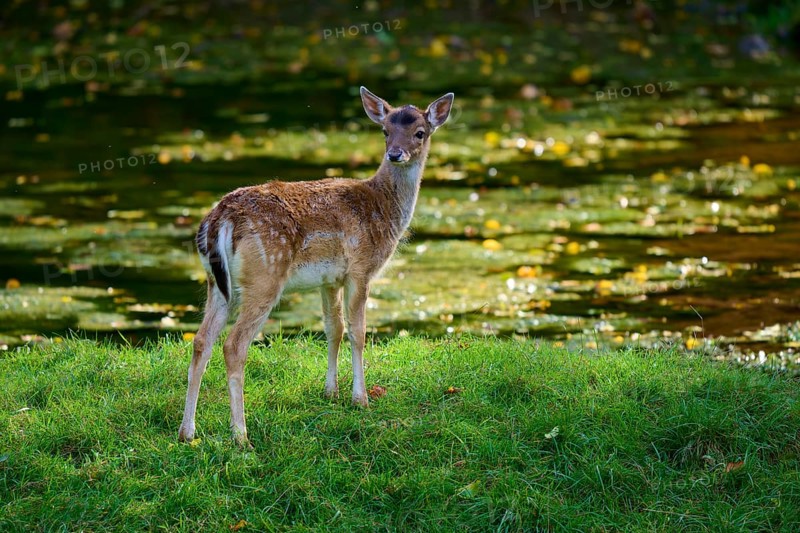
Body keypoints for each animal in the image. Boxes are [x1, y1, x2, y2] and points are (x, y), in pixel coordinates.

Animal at [178, 87, 455, 445]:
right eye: (385, 131)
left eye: (419, 132)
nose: (396, 154)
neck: (383, 208)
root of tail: (219, 220)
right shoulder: (361, 269)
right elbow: (358, 333)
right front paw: (360, 399)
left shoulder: (329, 279)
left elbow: (333, 329)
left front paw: (330, 393)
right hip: (264, 277)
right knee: (233, 345)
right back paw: (241, 436)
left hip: (217, 284)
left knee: (201, 341)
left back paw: (187, 432)